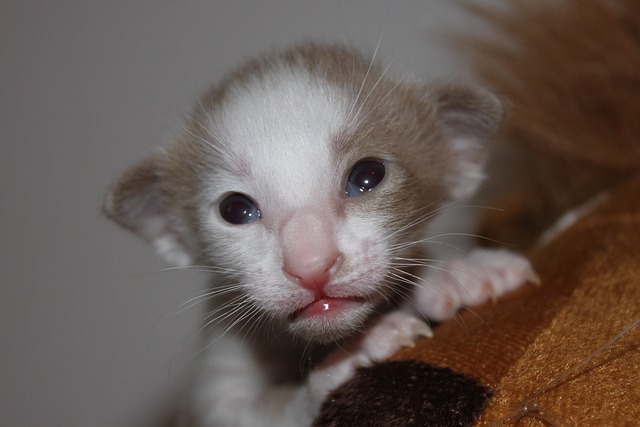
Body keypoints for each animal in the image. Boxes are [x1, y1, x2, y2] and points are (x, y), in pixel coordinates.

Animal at [104, 42, 536, 424]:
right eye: (235, 210)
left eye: (367, 176)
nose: (311, 266)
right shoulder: (215, 374)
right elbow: (251, 414)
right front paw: (344, 363)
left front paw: (452, 273)